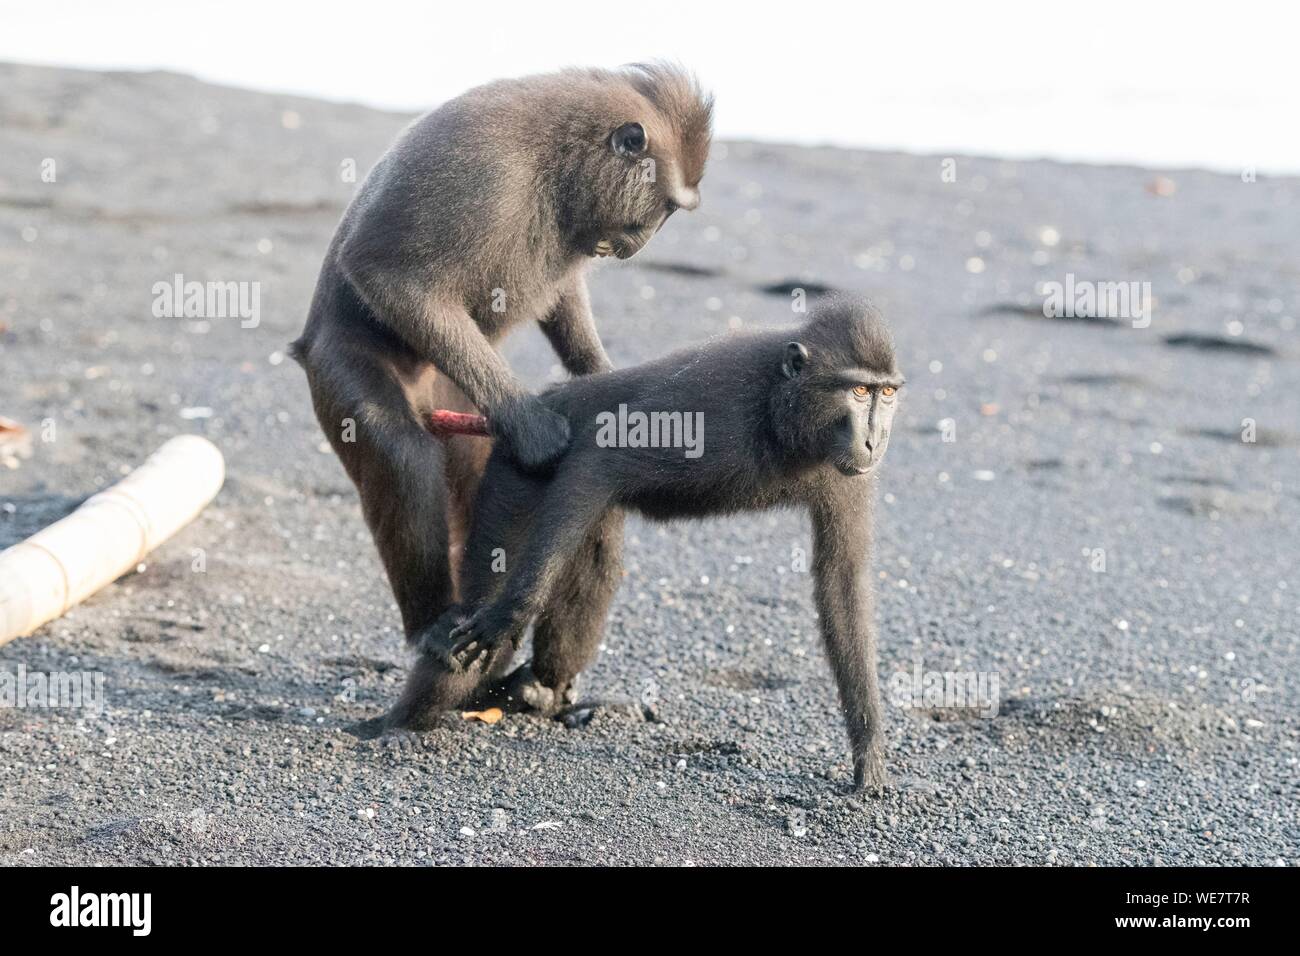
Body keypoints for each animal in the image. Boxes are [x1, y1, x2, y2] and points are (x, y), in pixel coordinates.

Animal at [292, 63, 712, 655]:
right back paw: (431, 622)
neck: (559, 158)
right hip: (345, 360)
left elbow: (563, 296)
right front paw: (535, 427)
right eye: (669, 209)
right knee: (403, 453)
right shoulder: (484, 178)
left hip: (459, 391)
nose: (644, 242)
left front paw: (601, 377)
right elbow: (388, 275)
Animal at [379, 299, 899, 790]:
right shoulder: (715, 410)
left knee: (594, 564)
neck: (783, 408)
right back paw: (398, 725)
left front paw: (868, 750)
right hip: (517, 472)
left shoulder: (847, 474)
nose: (876, 440)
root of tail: (544, 404)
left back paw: (533, 690)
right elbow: (602, 458)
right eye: (858, 391)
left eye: (887, 393)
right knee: (486, 597)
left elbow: (841, 582)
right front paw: (513, 609)